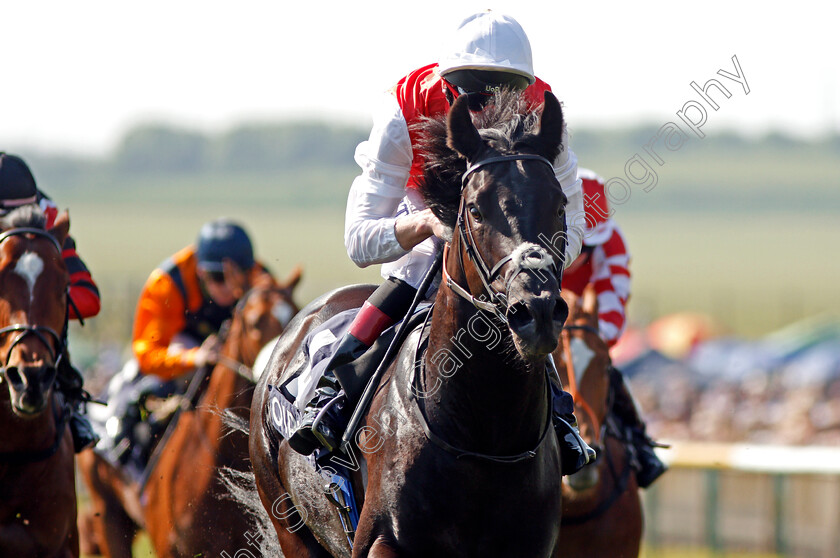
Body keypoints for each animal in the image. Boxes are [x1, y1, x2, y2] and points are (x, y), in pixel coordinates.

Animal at [249, 89, 576, 556]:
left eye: (560, 204)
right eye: (475, 209)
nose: (537, 311)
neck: (484, 435)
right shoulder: (383, 541)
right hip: (288, 519)